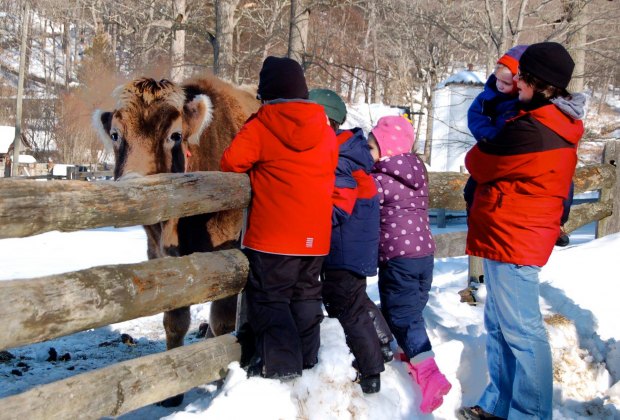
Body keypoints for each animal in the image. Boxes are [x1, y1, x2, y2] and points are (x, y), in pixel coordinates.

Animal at [92, 76, 260, 406]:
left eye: (175, 135)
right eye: (116, 134)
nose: (133, 184)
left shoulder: (231, 257)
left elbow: (222, 319)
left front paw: (220, 378)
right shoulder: (161, 256)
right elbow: (175, 318)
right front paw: (172, 393)